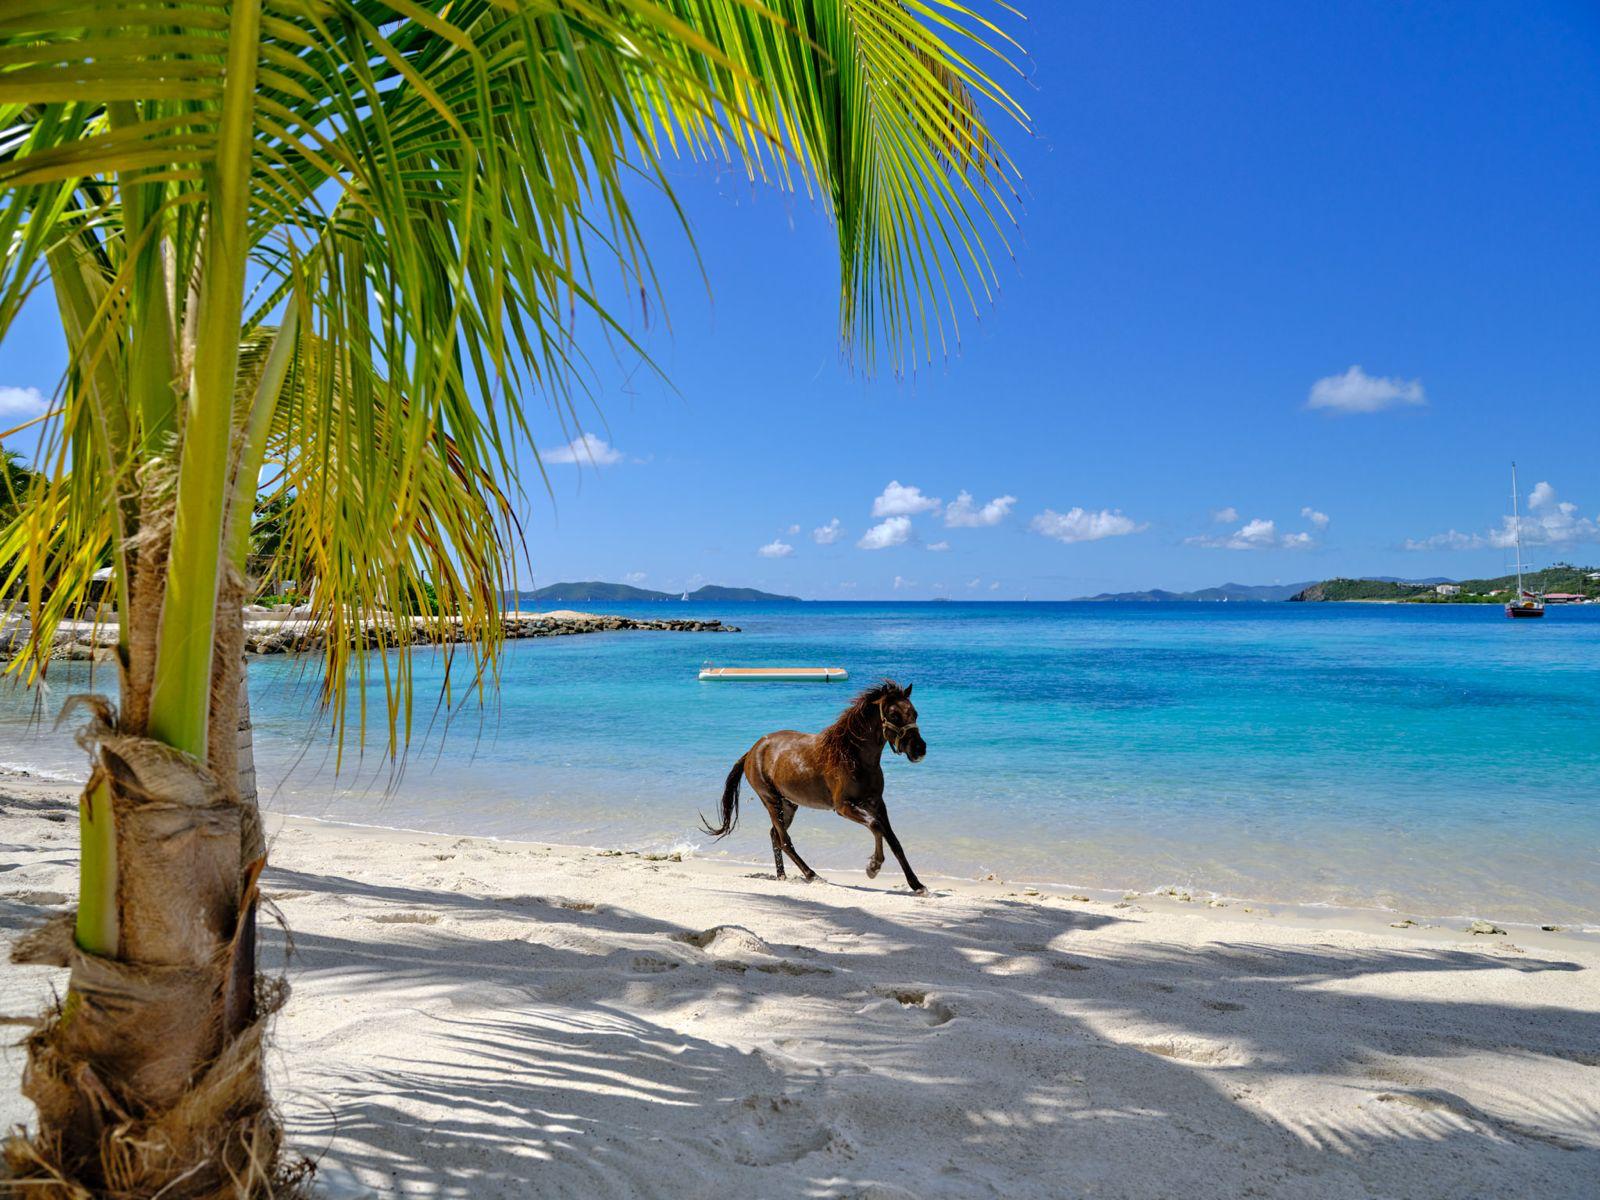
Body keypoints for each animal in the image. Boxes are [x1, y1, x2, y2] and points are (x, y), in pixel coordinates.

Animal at [700, 680, 929, 894]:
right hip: (771, 800)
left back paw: (782, 876)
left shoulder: (877, 803)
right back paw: (812, 875)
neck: (853, 756)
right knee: (784, 840)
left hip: (789, 804)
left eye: (915, 713)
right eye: (894, 715)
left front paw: (917, 885)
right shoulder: (844, 807)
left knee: (775, 835)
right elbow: (875, 826)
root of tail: (752, 750)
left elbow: (894, 841)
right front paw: (873, 867)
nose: (919, 749)